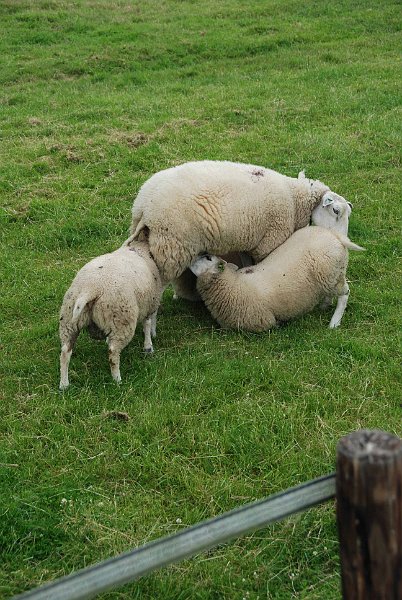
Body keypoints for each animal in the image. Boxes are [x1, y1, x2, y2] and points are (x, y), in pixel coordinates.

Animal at [57, 236, 163, 390]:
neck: (141, 248)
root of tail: (90, 289)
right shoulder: (150, 303)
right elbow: (147, 325)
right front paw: (148, 347)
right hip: (121, 320)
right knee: (113, 352)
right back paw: (117, 379)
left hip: (68, 319)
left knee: (65, 352)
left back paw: (64, 385)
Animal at [130, 161, 350, 284]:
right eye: (336, 211)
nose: (342, 240)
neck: (294, 199)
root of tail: (144, 206)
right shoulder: (268, 242)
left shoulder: (250, 240)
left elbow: (246, 263)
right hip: (172, 247)